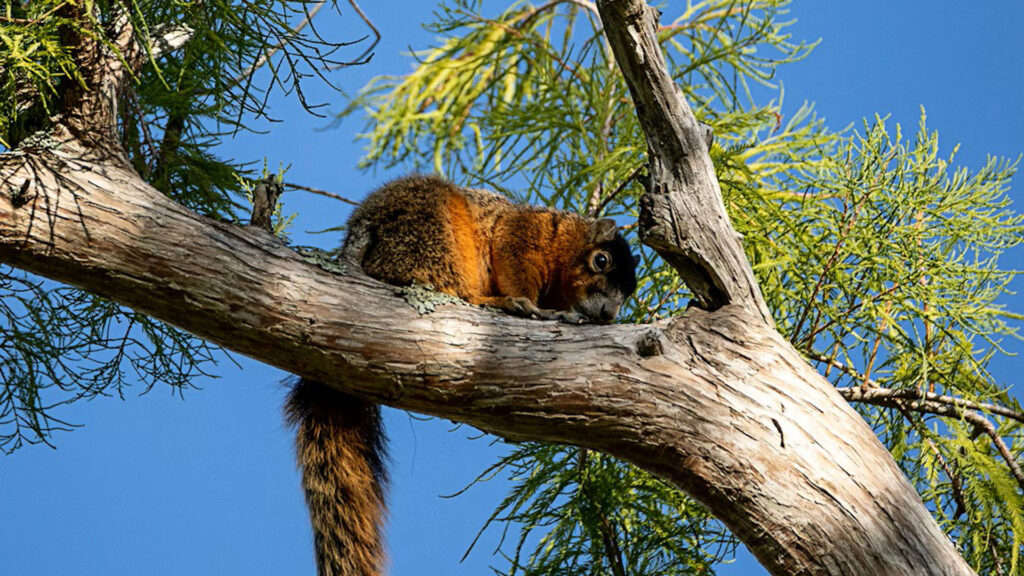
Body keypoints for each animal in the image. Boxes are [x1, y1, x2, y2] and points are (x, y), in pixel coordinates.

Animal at [285, 174, 639, 576]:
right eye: (600, 260)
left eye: (629, 291)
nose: (609, 313)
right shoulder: (523, 233)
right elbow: (513, 258)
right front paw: (533, 305)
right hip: (426, 230)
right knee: (447, 284)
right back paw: (498, 302)